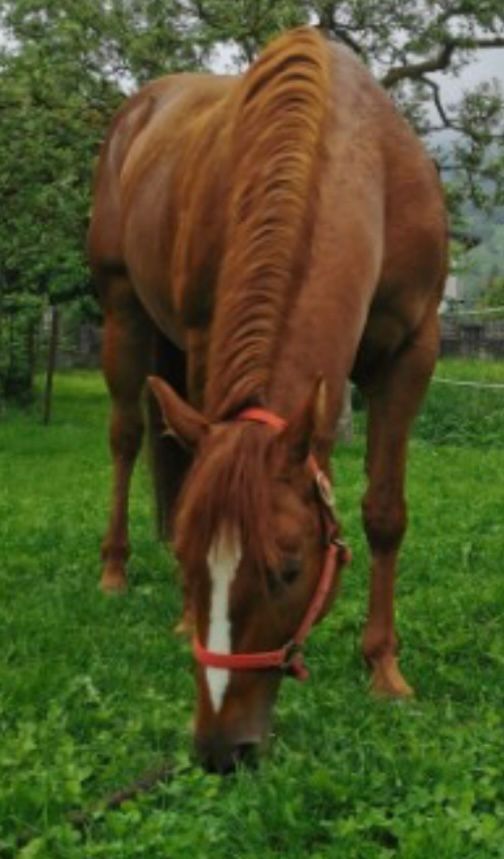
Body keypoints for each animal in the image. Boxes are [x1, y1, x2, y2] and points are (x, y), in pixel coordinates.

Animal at [88, 26, 447, 773]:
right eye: (194, 561)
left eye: (290, 568)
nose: (221, 749)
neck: (356, 157)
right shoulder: (204, 332)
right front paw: (180, 608)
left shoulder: (413, 353)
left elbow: (385, 512)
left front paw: (384, 669)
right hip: (123, 310)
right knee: (126, 437)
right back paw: (115, 568)